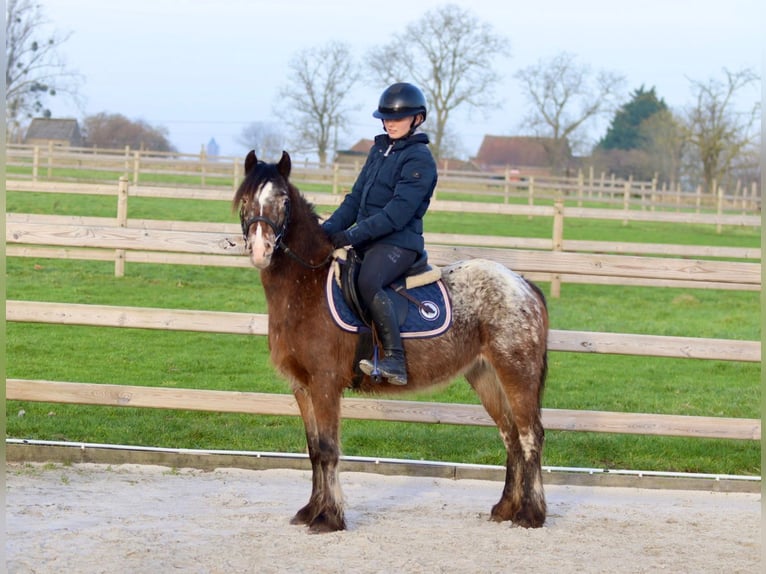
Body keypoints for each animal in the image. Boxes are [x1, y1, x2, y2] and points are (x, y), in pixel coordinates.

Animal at [234, 150, 552, 536]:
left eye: (283, 201)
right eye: (246, 200)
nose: (261, 249)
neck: (306, 287)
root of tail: (523, 284)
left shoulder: (325, 384)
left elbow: (328, 449)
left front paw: (329, 518)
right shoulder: (302, 387)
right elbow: (313, 450)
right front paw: (310, 511)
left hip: (517, 372)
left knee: (530, 435)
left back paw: (530, 514)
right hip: (486, 376)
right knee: (510, 436)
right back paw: (506, 508)